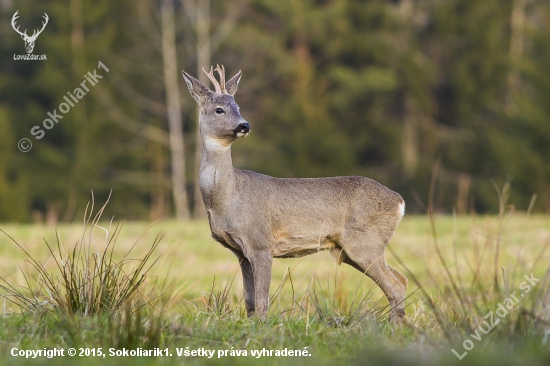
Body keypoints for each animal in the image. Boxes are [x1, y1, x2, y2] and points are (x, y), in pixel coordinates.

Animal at [183, 65, 408, 320]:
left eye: (238, 107)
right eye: (219, 109)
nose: (244, 125)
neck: (227, 199)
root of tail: (399, 201)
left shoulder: (261, 242)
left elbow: (262, 301)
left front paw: (262, 326)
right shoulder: (241, 252)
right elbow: (249, 301)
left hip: (365, 242)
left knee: (395, 285)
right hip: (351, 249)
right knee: (402, 279)